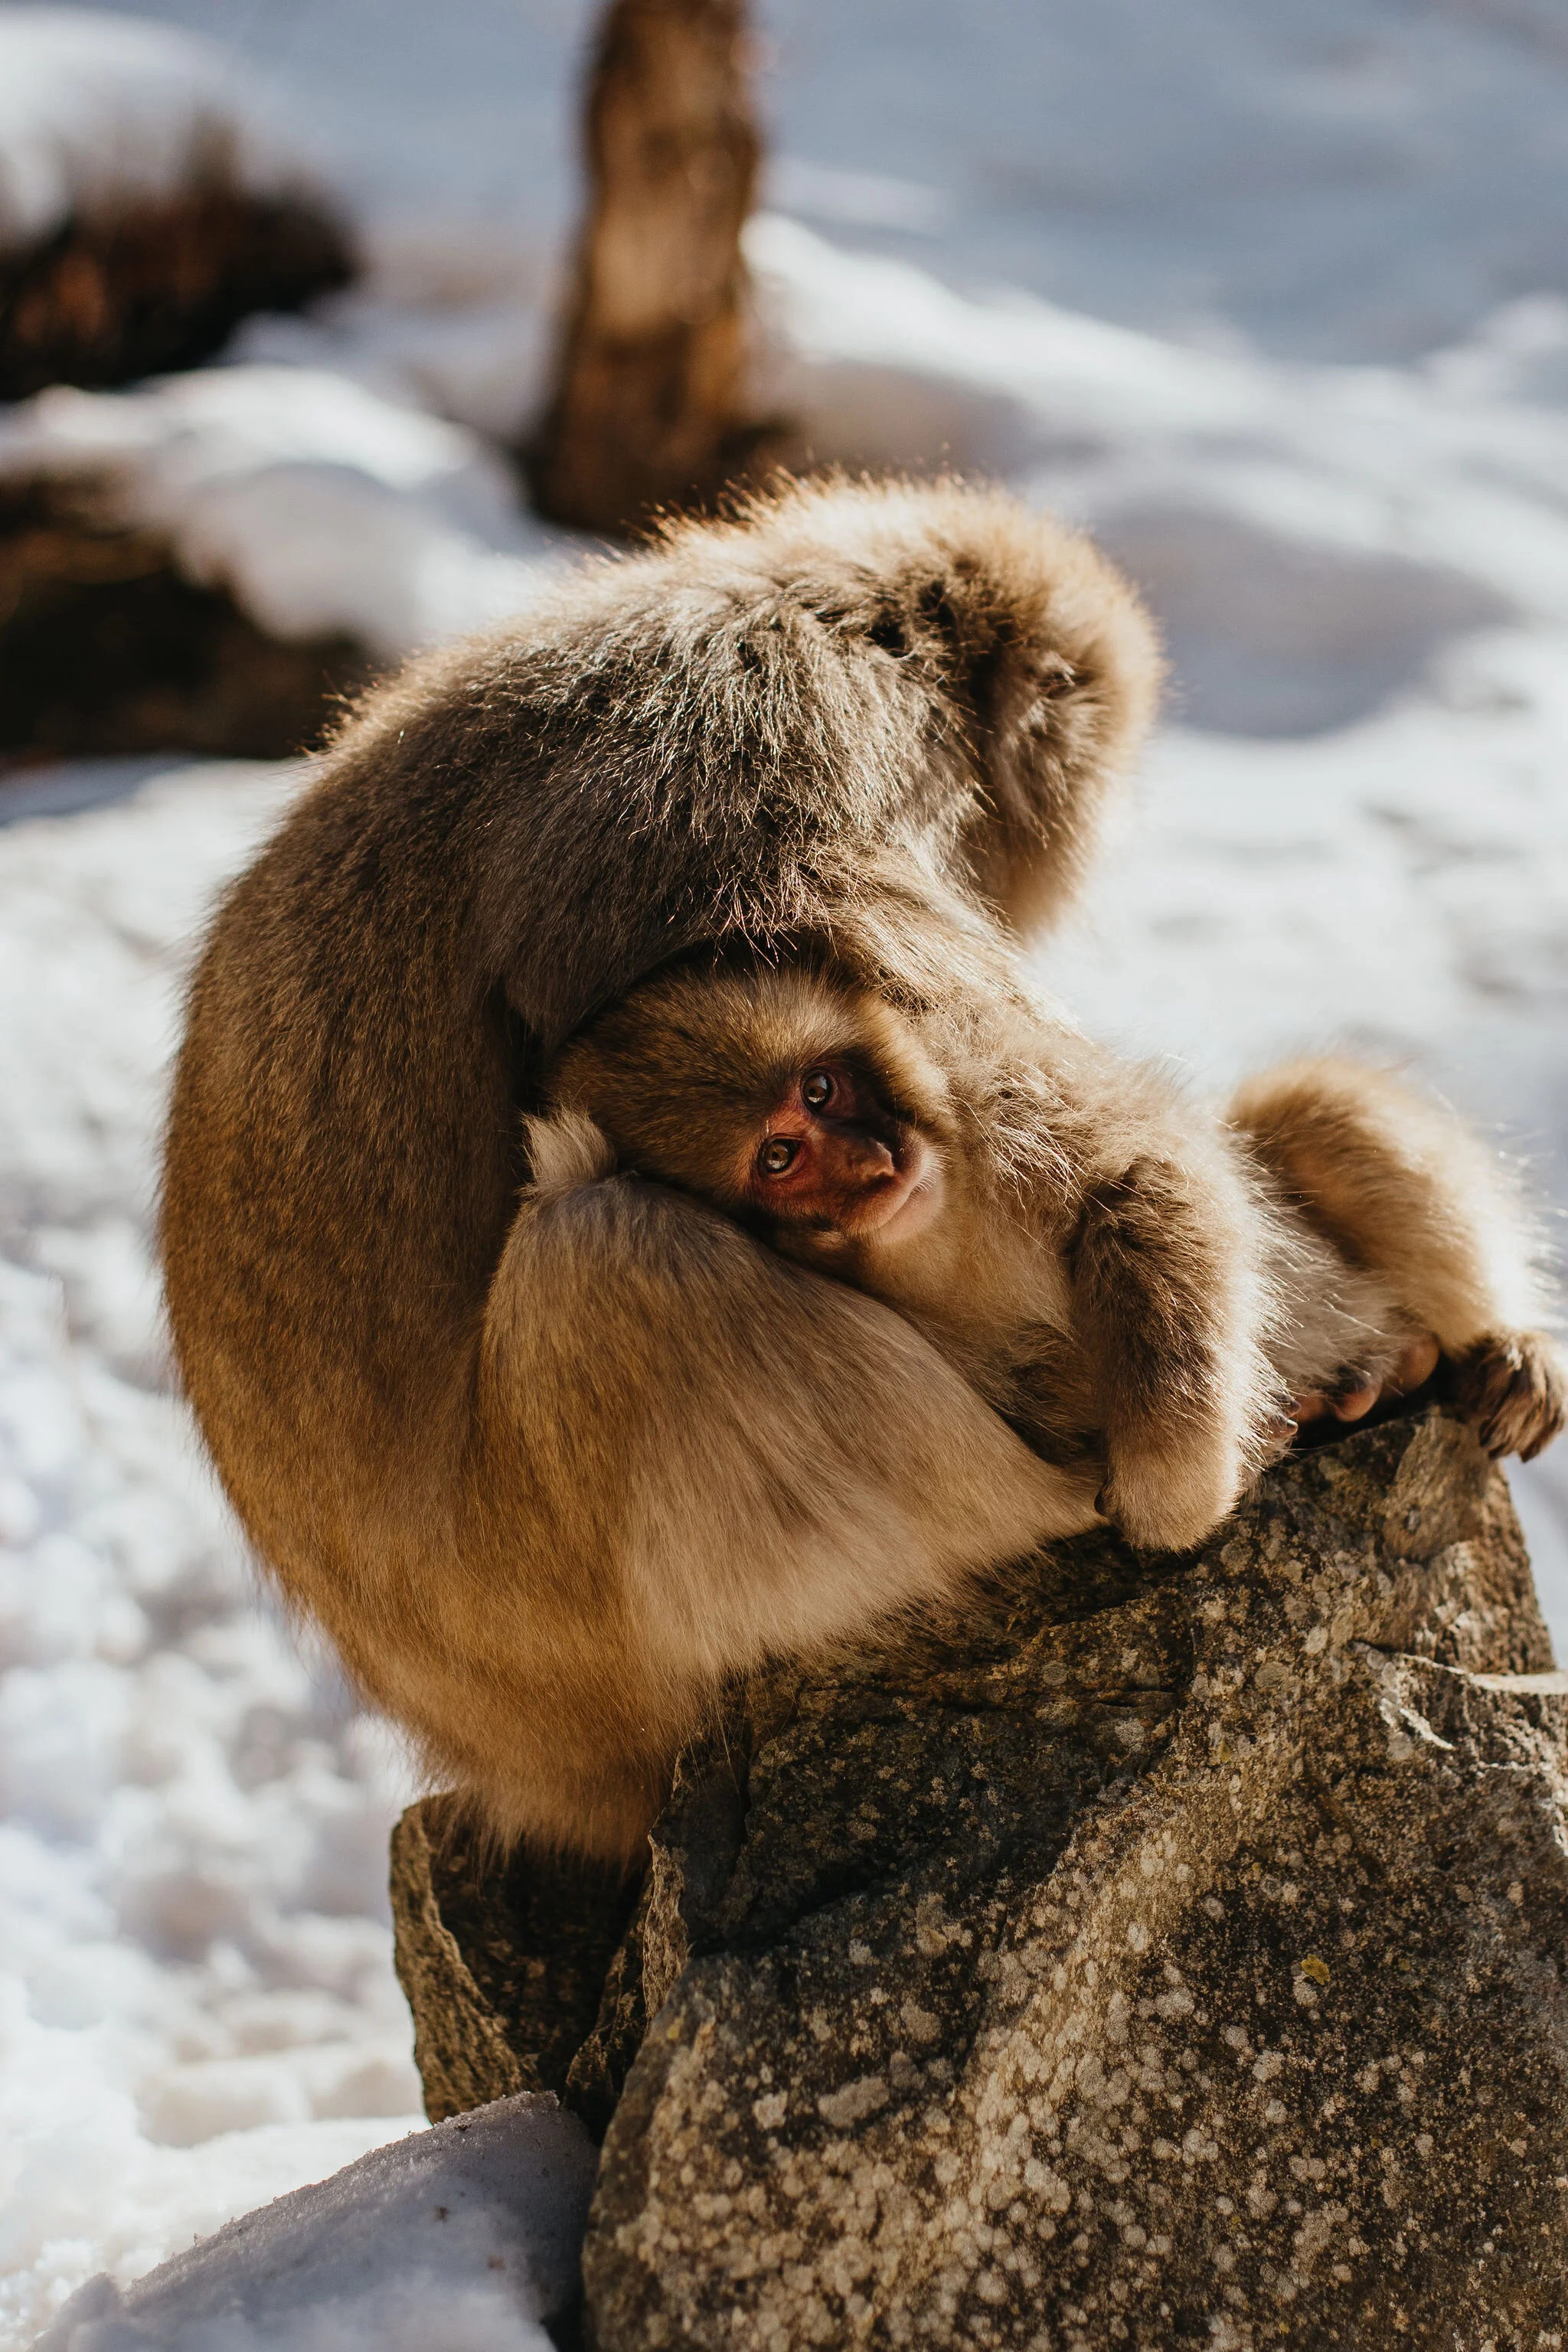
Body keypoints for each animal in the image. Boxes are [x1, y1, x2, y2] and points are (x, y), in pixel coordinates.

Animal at [546, 959, 1564, 1547]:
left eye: (823, 1088)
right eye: (780, 1157)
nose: (876, 1164)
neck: (932, 1229)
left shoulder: (991, 1085)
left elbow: (1151, 1175)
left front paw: (1174, 1495)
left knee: (1308, 1112)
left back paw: (1499, 1350)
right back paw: (1377, 1379)